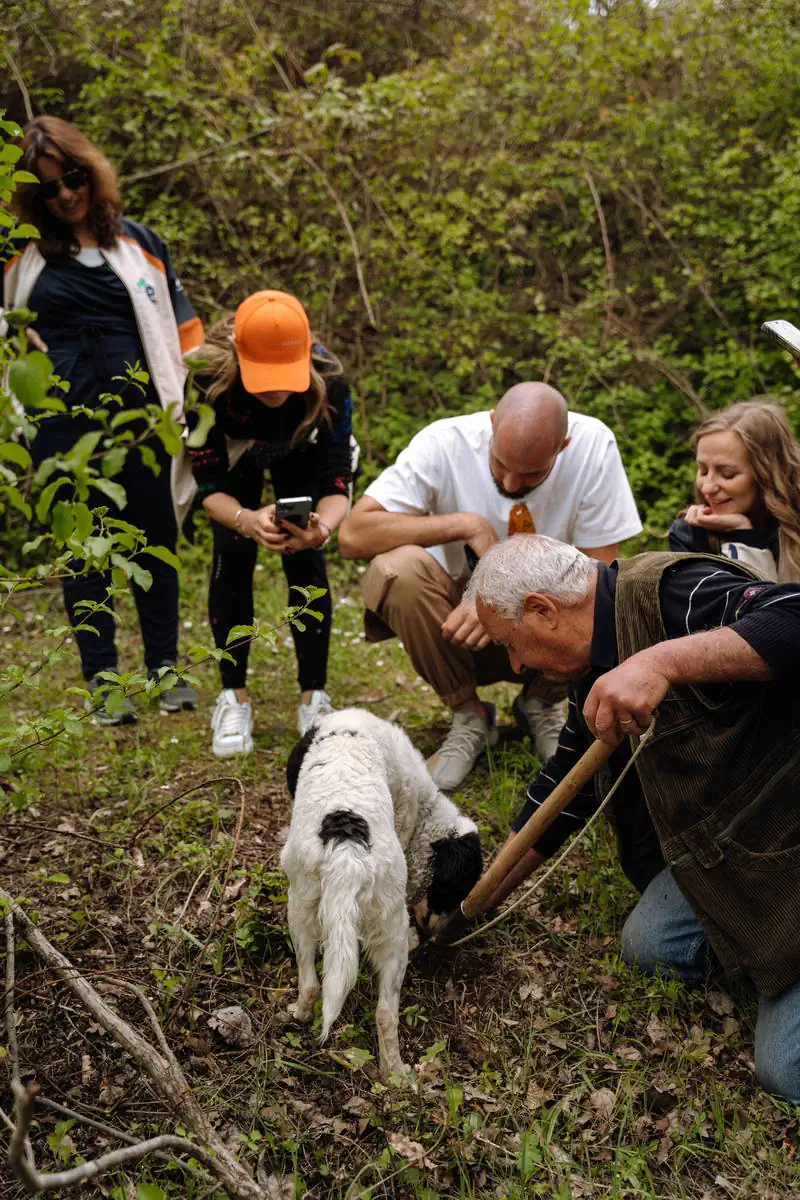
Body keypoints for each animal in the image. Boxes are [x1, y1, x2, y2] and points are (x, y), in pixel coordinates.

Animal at [281, 705, 482, 1075]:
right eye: (454, 889)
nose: (440, 933)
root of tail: (348, 851)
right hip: (378, 931)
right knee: (384, 1012)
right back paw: (397, 1075)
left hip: (302, 911)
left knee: (313, 985)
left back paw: (298, 1014)